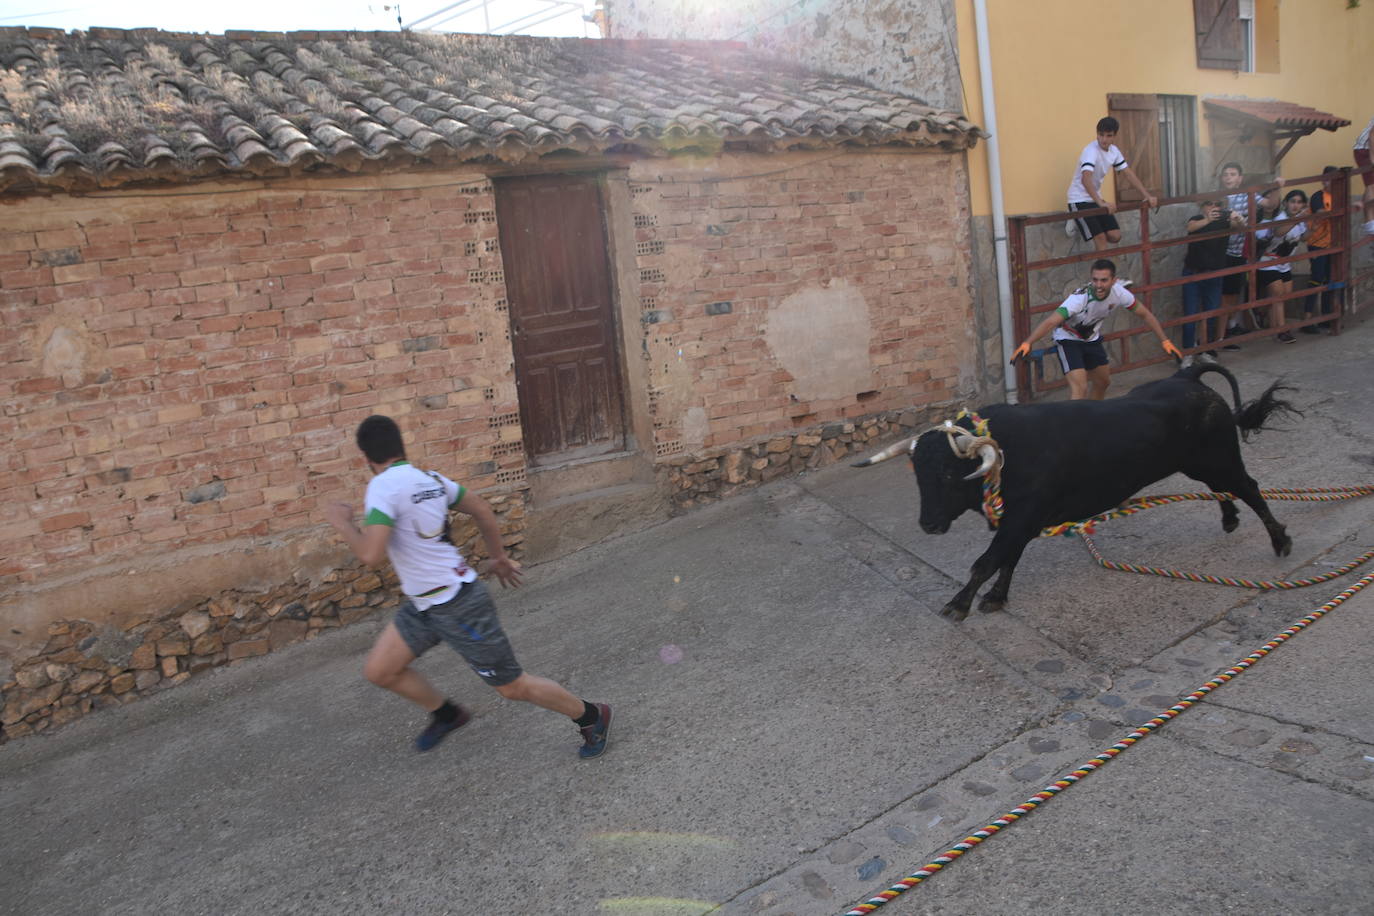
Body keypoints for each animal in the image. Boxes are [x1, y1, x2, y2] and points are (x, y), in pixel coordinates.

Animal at [851, 362, 1291, 620]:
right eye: (917, 475)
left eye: (946, 473)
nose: (928, 525)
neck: (1006, 452)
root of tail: (1186, 377)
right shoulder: (1022, 521)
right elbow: (1007, 560)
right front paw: (995, 598)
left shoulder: (1021, 518)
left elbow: (987, 561)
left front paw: (958, 604)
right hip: (1203, 464)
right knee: (1223, 491)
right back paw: (1231, 520)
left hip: (1221, 458)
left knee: (1249, 488)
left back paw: (1280, 541)